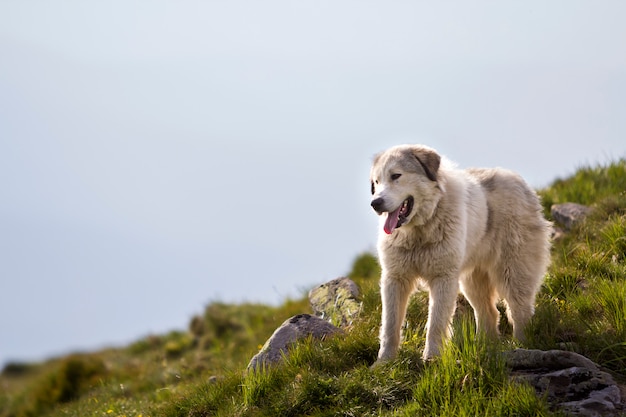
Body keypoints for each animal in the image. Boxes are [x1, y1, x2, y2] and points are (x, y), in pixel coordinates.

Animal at [368, 145, 548, 362]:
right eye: (376, 182)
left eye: (396, 175)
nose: (375, 203)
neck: (420, 231)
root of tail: (519, 181)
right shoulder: (395, 279)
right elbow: (390, 324)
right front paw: (384, 362)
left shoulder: (443, 278)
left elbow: (436, 323)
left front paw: (432, 358)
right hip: (472, 281)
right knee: (489, 312)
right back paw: (483, 347)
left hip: (512, 270)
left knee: (519, 308)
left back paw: (522, 345)